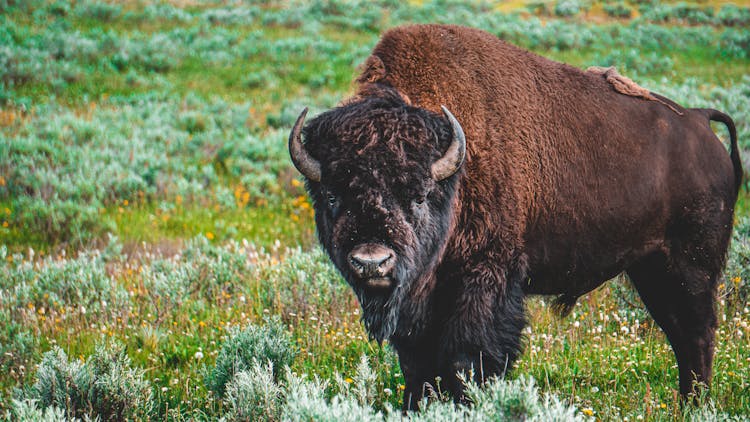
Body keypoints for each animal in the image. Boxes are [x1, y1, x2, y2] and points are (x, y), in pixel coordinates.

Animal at [286, 23, 740, 408]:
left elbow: (468, 360)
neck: (455, 173)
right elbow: (417, 365)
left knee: (697, 332)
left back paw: (696, 404)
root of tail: (700, 122)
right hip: (650, 269)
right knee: (681, 332)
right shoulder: (418, 306)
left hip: (689, 266)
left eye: (418, 195)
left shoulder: (485, 279)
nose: (372, 262)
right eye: (332, 195)